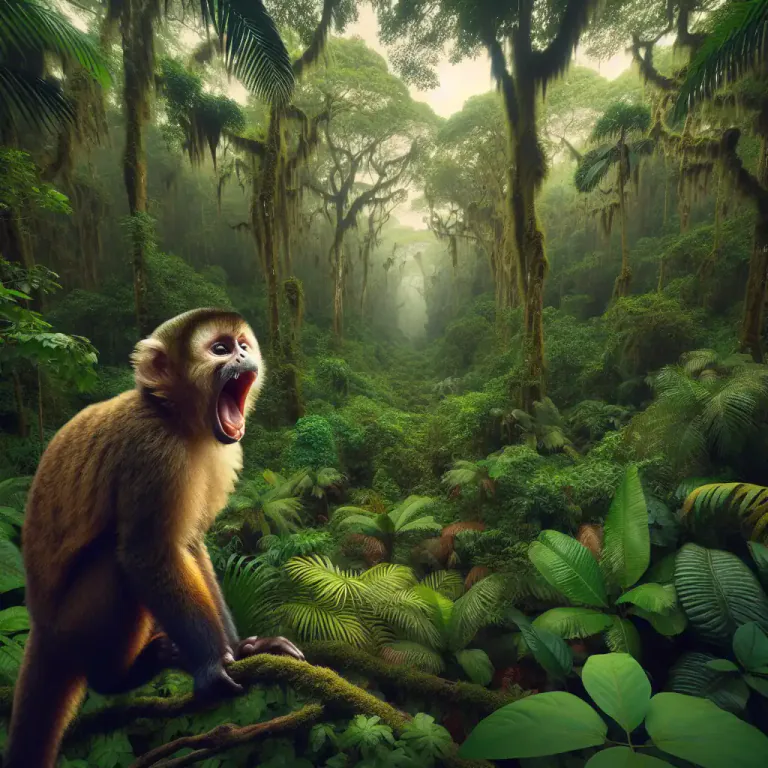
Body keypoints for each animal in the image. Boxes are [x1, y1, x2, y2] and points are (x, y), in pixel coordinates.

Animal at [5, 308, 304, 768]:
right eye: (220, 349)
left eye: (242, 345)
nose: (243, 358)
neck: (176, 419)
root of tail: (38, 624)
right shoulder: (152, 450)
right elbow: (150, 554)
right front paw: (211, 665)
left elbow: (191, 544)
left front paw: (243, 649)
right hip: (70, 625)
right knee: (116, 559)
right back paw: (115, 679)